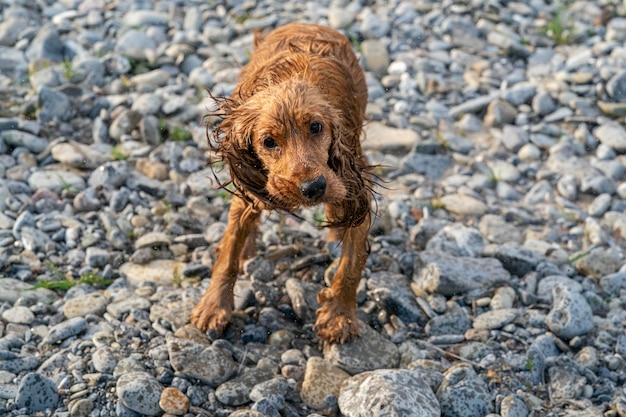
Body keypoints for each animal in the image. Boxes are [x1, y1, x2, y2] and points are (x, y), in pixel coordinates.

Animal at [190, 21, 372, 342]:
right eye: (268, 142)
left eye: (316, 127)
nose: (313, 188)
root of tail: (307, 22)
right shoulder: (254, 189)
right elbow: (229, 252)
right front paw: (214, 307)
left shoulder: (354, 182)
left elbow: (351, 263)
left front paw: (339, 316)